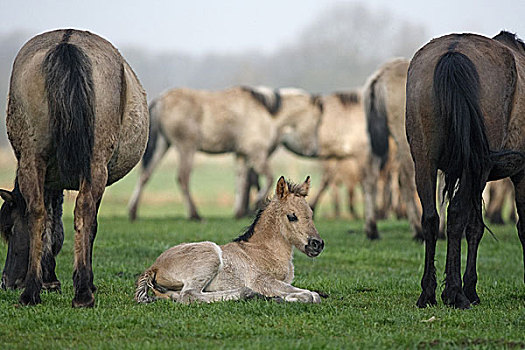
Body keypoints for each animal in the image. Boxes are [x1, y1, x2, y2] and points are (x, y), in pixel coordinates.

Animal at [0, 28, 148, 306]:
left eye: (11, 229)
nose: (6, 282)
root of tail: (66, 42)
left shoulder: (50, 181)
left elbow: (51, 223)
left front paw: (49, 280)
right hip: (93, 164)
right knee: (83, 212)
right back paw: (82, 292)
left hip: (33, 159)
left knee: (37, 213)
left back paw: (32, 292)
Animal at [127, 86, 324, 220]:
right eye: (316, 121)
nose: (315, 149)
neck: (267, 114)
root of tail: (162, 100)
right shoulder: (257, 154)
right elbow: (268, 178)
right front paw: (255, 203)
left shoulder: (242, 156)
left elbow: (241, 183)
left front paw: (239, 212)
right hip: (186, 148)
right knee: (183, 178)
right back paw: (195, 214)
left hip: (163, 145)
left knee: (145, 175)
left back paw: (133, 212)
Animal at [134, 176, 324, 304]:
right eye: (292, 216)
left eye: (311, 214)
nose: (317, 244)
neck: (263, 250)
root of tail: (154, 267)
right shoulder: (260, 280)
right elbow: (309, 294)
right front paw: (289, 297)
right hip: (209, 255)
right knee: (189, 295)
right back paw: (248, 293)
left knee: (177, 296)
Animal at [360, 58, 422, 241]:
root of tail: (381, 75)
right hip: (405, 141)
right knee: (409, 181)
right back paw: (419, 229)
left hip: (376, 142)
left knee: (370, 178)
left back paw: (372, 229)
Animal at [406, 30, 524, 308]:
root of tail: (453, 51)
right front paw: (468, 288)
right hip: (475, 168)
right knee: (457, 216)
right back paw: (455, 292)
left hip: (425, 162)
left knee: (431, 219)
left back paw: (428, 293)